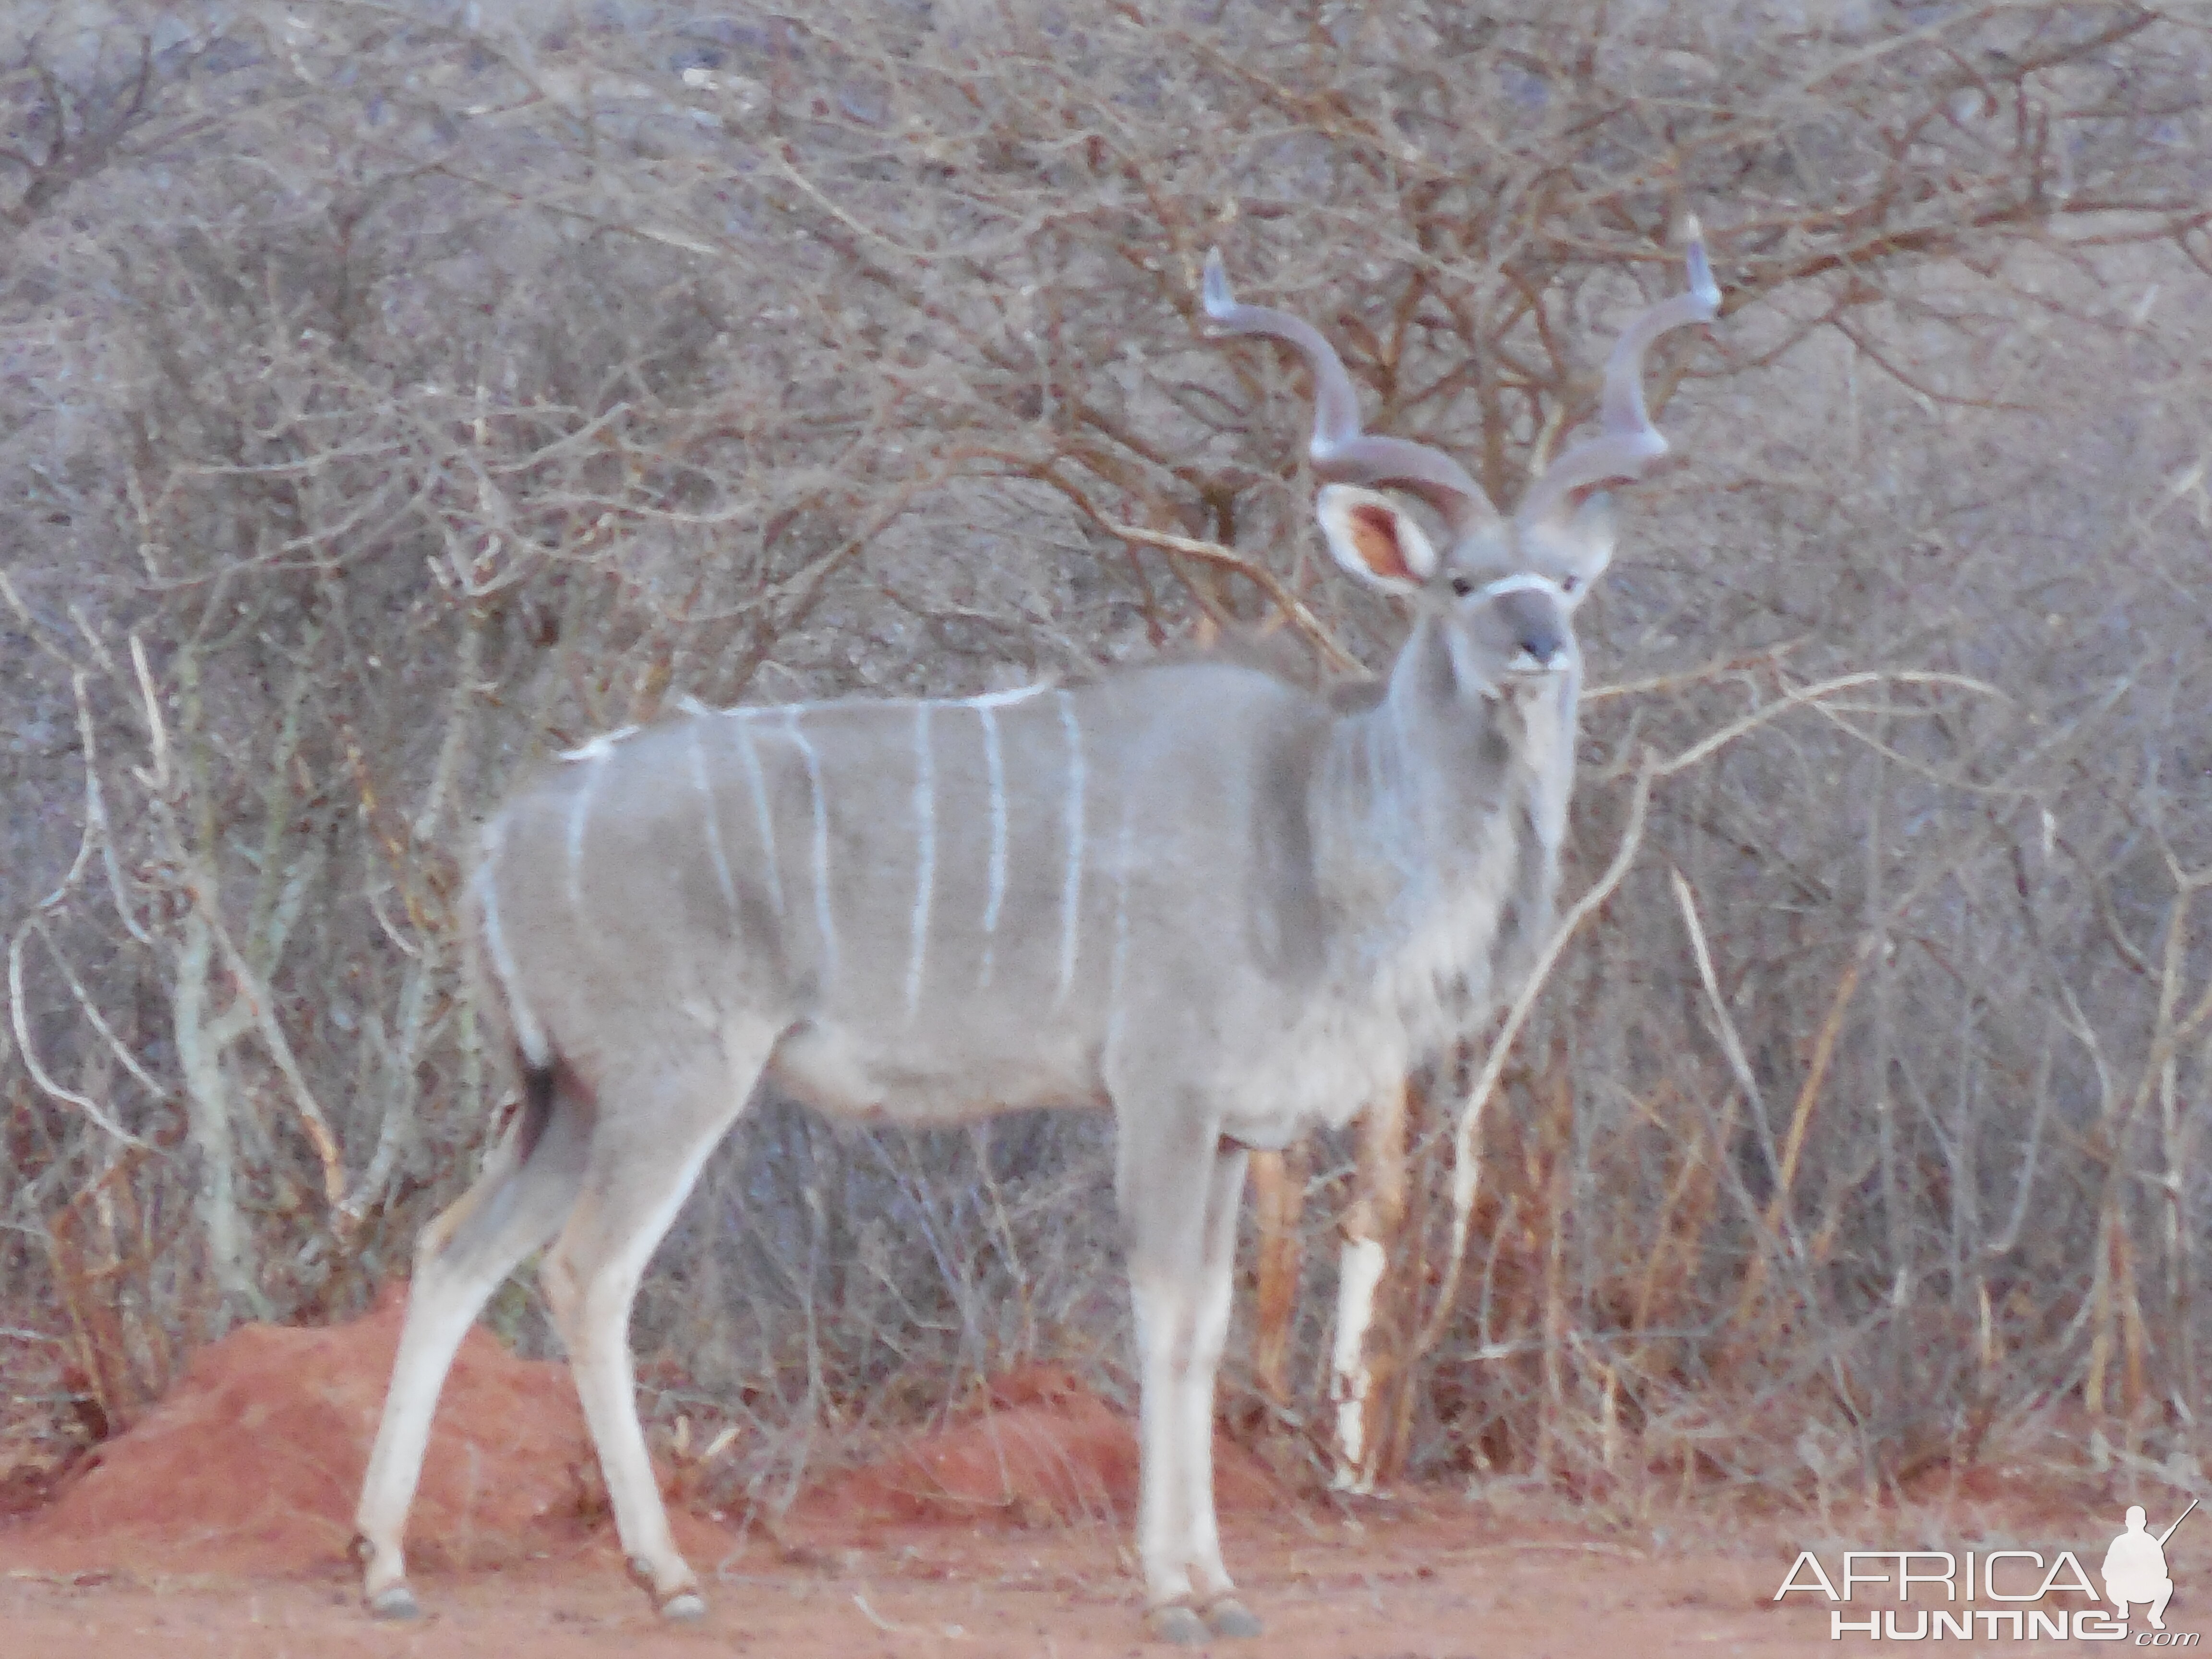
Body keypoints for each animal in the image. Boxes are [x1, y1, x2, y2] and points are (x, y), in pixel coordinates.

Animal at [354, 228, 1716, 1646]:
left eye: (1568, 581)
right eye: (1460, 582)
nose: (1539, 645)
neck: (1318, 820)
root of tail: (504, 836)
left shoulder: (1229, 1130)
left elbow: (1209, 1323)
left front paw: (1220, 1584)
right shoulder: (1163, 1096)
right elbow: (1164, 1316)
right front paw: (1172, 1592)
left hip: (563, 1095)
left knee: (452, 1250)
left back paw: (387, 1562)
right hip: (673, 1082)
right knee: (585, 1272)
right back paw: (663, 1572)